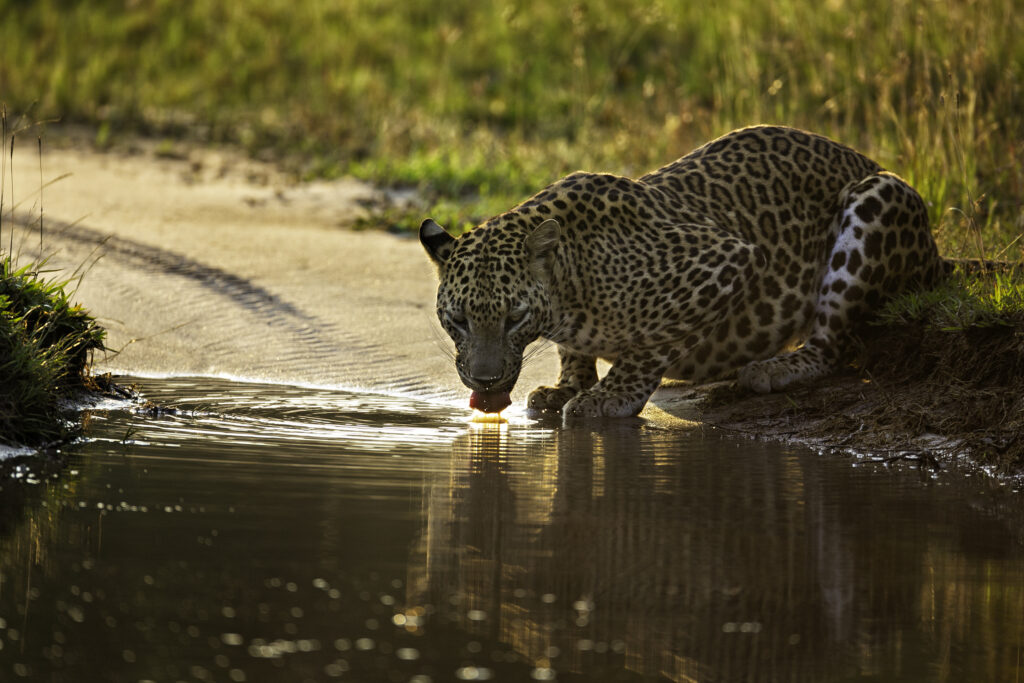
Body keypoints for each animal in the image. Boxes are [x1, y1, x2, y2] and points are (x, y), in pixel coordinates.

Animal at [420, 125, 948, 418]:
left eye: (514, 318)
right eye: (459, 320)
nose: (486, 380)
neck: (572, 282)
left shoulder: (725, 260)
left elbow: (652, 344)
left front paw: (608, 396)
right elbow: (576, 353)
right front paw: (570, 385)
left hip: (878, 198)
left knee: (831, 344)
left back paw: (775, 368)